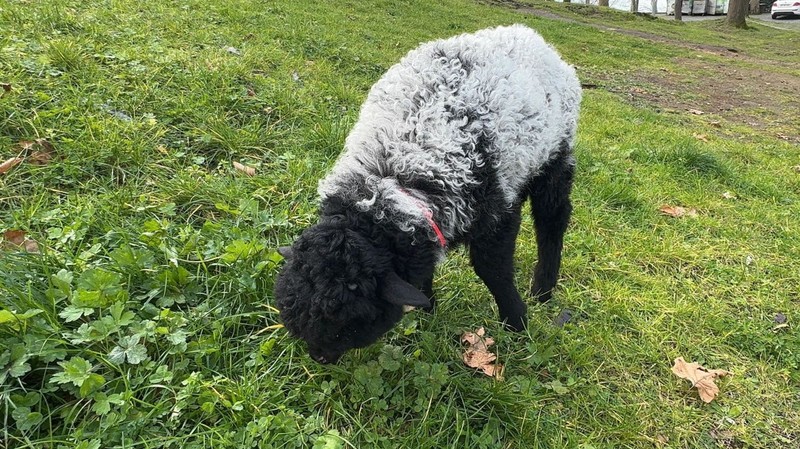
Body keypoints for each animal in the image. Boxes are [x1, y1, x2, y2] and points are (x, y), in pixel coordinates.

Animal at [276, 22, 580, 362]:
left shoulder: (498, 211)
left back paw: (543, 290)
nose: (320, 357)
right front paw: (427, 310)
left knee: (553, 218)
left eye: (349, 322)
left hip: (555, 154)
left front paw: (517, 321)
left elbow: (493, 269)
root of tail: (528, 34)